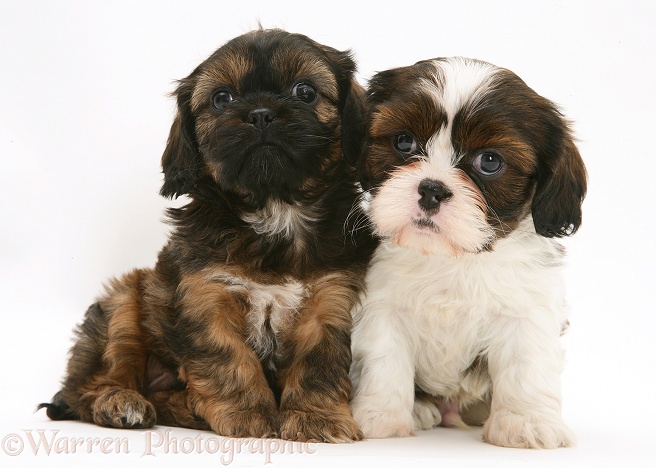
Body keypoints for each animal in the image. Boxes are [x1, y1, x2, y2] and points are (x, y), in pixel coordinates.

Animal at [352, 58, 588, 450]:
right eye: (404, 141)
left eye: (488, 161)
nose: (431, 189)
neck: (454, 258)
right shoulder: (382, 307)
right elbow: (384, 358)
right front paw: (380, 417)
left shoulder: (527, 308)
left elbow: (527, 363)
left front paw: (527, 422)